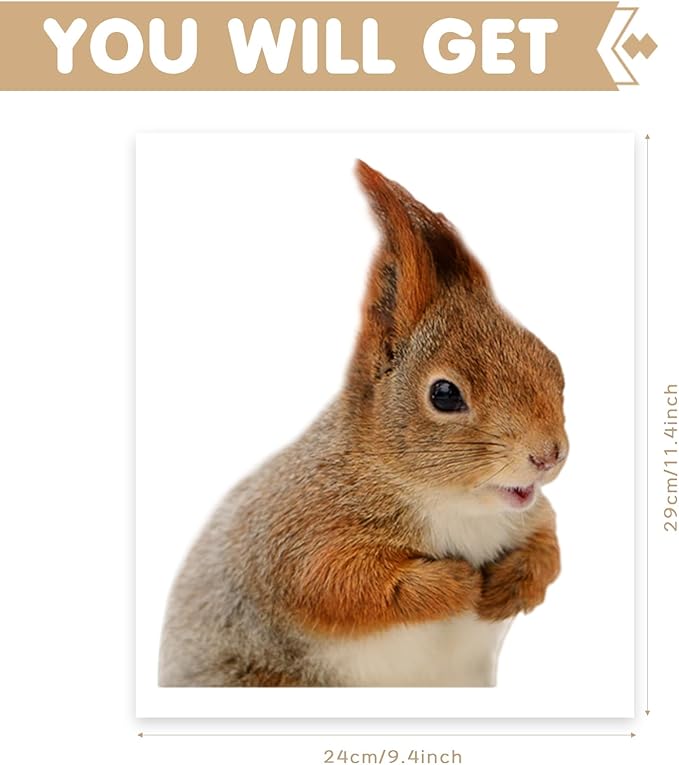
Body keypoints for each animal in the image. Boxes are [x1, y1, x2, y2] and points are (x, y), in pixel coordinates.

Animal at [158, 160, 567, 687]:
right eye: (444, 394)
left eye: (552, 361)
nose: (550, 454)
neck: (454, 505)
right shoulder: (298, 532)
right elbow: (340, 585)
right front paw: (455, 584)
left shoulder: (530, 514)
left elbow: (549, 545)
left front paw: (512, 583)